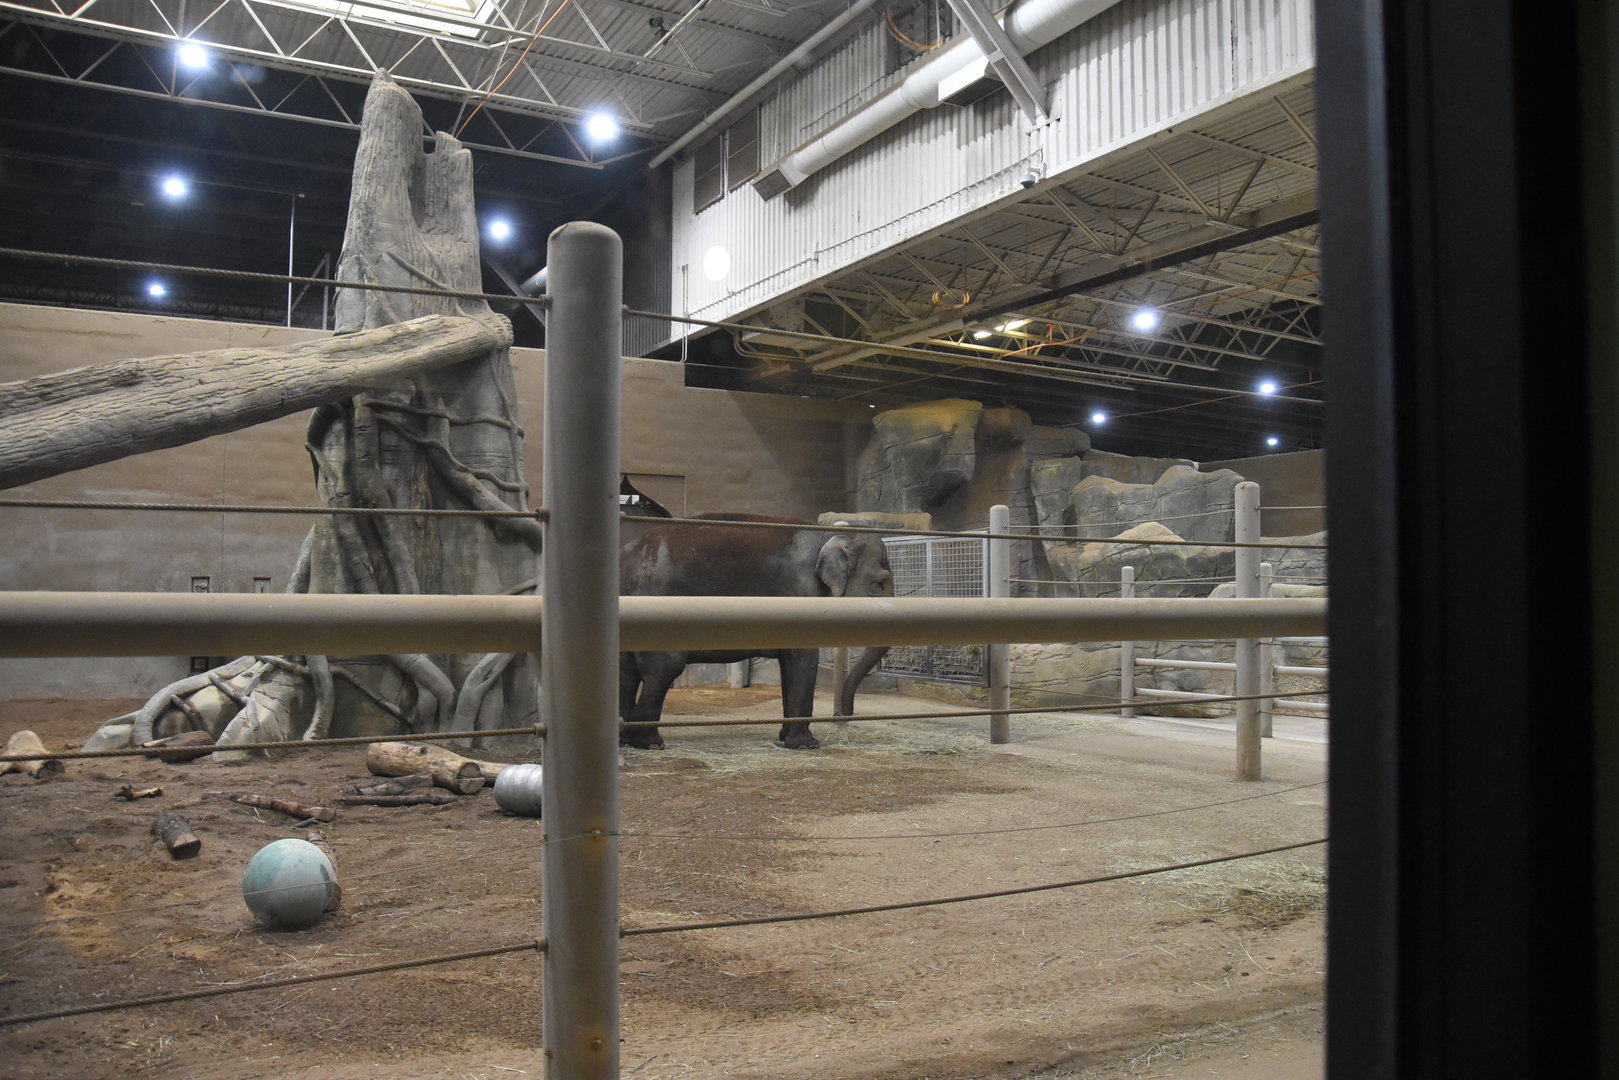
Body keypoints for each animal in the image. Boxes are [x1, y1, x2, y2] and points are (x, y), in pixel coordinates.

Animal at [618, 513, 894, 749]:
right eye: (879, 584)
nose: (842, 717)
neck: (825, 533)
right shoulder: (799, 592)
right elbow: (804, 657)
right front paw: (806, 745)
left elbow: (789, 665)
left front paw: (784, 738)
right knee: (663, 670)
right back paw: (649, 742)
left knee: (627, 672)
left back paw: (622, 739)